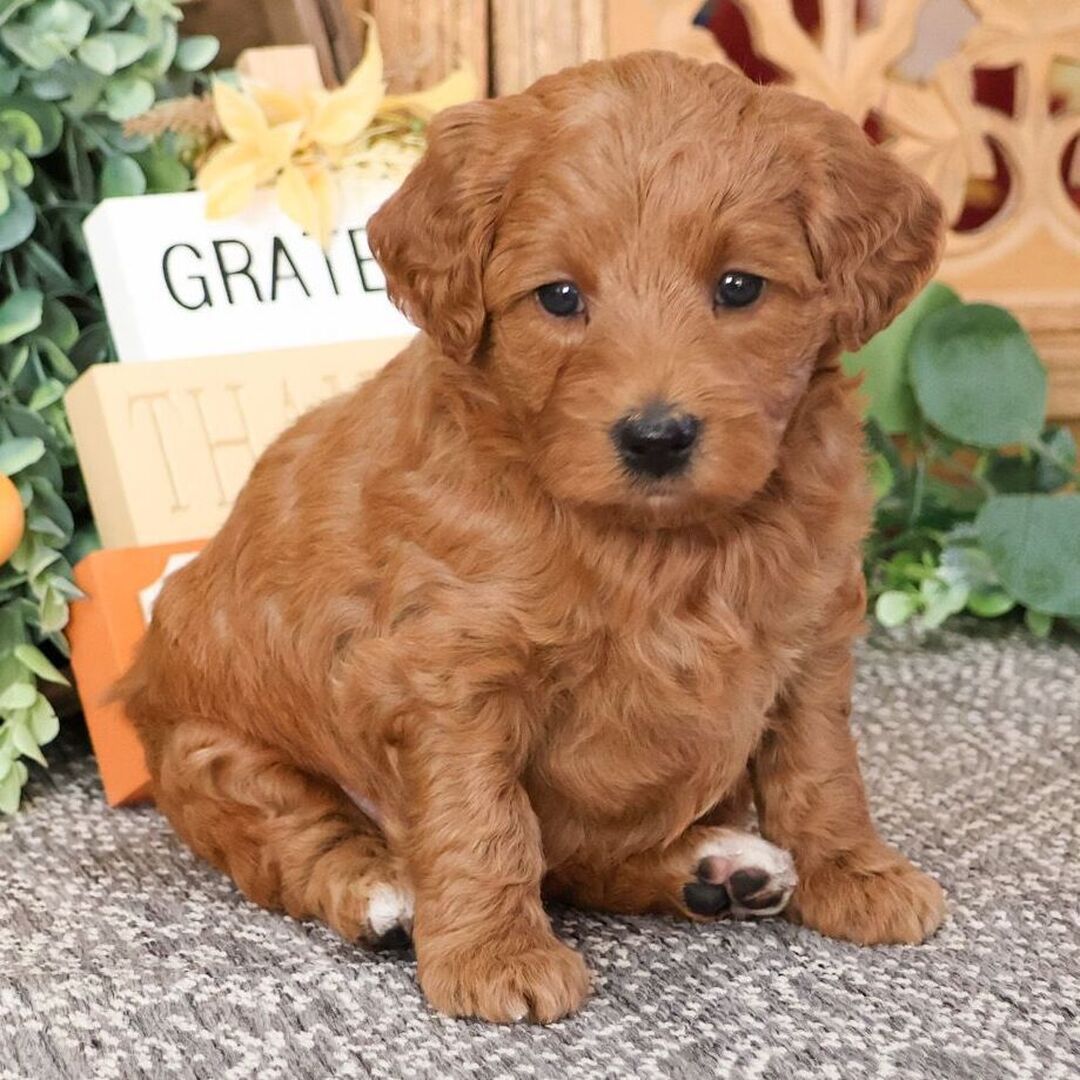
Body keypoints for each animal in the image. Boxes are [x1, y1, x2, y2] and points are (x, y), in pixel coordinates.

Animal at [119, 51, 947, 1024]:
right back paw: (383, 890)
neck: (664, 545)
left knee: (586, 865)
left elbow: (821, 769)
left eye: (739, 287)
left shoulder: (813, 636)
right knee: (298, 837)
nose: (656, 437)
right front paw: (495, 957)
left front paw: (857, 875)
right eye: (559, 297)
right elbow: (484, 817)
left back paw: (715, 868)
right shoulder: (452, 674)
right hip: (214, 755)